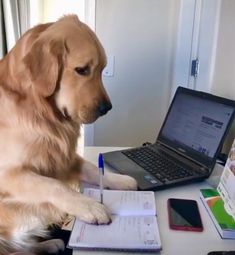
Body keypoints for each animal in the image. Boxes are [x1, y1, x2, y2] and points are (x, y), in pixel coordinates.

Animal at [0, 14, 137, 254]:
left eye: (102, 69)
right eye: (82, 70)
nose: (107, 108)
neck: (41, 111)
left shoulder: (64, 157)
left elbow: (93, 169)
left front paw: (119, 180)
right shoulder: (8, 174)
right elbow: (54, 185)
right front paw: (90, 206)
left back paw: (50, 243)